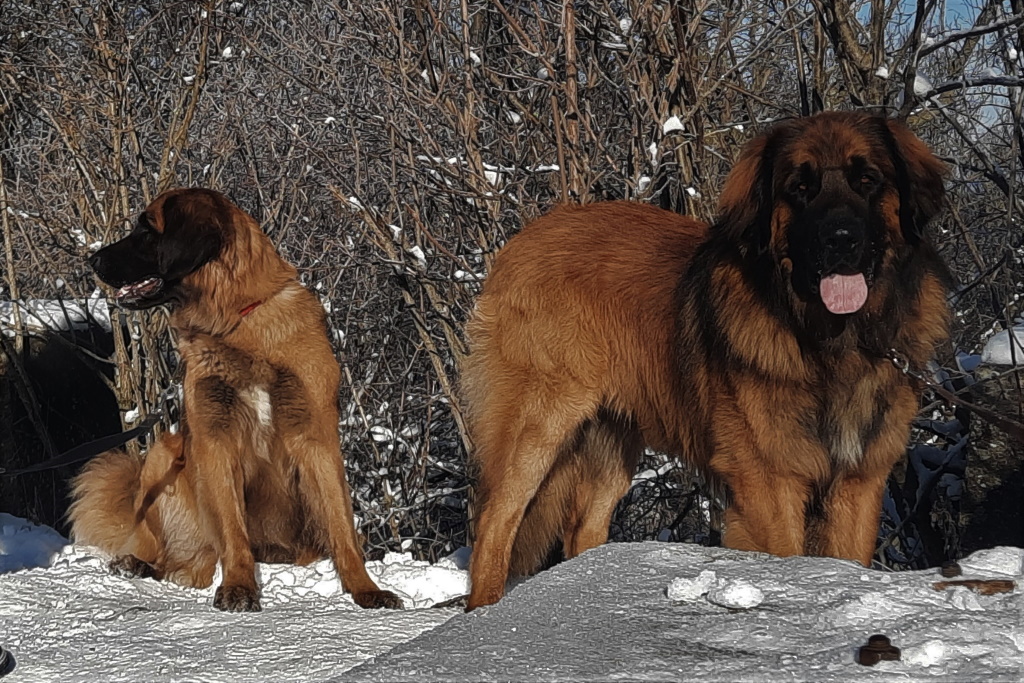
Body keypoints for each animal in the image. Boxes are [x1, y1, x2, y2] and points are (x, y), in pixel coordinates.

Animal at [69, 188, 399, 614]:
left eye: (147, 230)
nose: (92, 260)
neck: (236, 321)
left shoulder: (316, 438)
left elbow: (342, 526)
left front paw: (364, 589)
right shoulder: (215, 438)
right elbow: (231, 527)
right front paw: (239, 586)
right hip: (162, 455)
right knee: (169, 556)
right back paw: (137, 563)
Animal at [464, 112, 950, 610]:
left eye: (867, 180)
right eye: (800, 188)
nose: (840, 240)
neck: (828, 341)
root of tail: (522, 240)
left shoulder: (859, 481)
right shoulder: (769, 482)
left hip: (613, 437)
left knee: (584, 528)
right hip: (538, 420)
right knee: (495, 521)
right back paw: (484, 614)